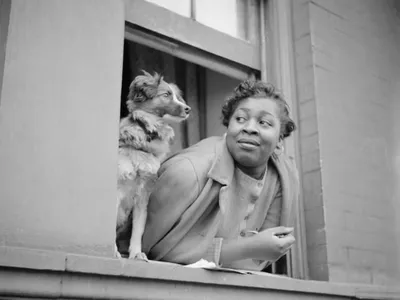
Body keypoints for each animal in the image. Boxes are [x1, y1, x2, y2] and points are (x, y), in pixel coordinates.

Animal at [115, 71, 191, 260]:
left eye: (176, 95)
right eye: (166, 94)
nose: (188, 109)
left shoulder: (143, 195)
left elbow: (138, 229)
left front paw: (136, 254)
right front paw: (112, 252)